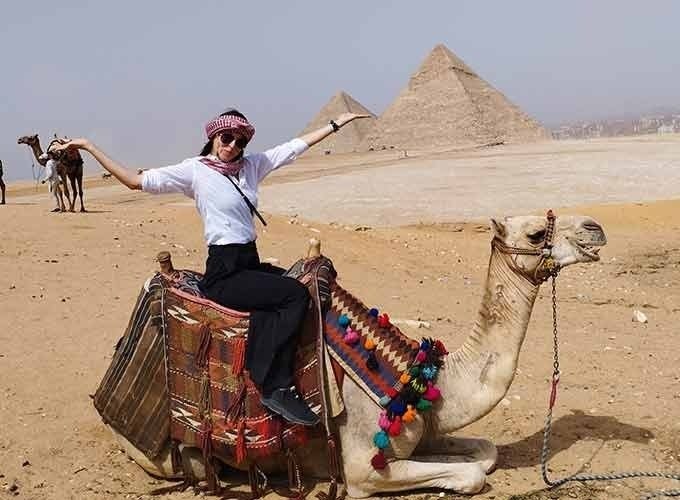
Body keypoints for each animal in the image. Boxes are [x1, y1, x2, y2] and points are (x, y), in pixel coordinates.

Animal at [108, 213, 607, 497]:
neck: (426, 380)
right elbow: (471, 475)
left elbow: (484, 455)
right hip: (157, 450)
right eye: (538, 232)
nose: (595, 228)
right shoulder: (361, 468)